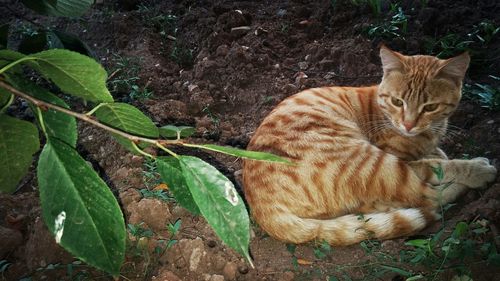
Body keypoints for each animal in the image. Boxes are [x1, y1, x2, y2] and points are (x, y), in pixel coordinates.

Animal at [242, 46, 496, 245]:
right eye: (397, 101)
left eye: (430, 107)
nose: (408, 124)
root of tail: (262, 209)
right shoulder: (404, 159)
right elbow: (441, 165)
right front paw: (476, 168)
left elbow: (437, 154)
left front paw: (438, 150)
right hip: (378, 164)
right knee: (426, 197)